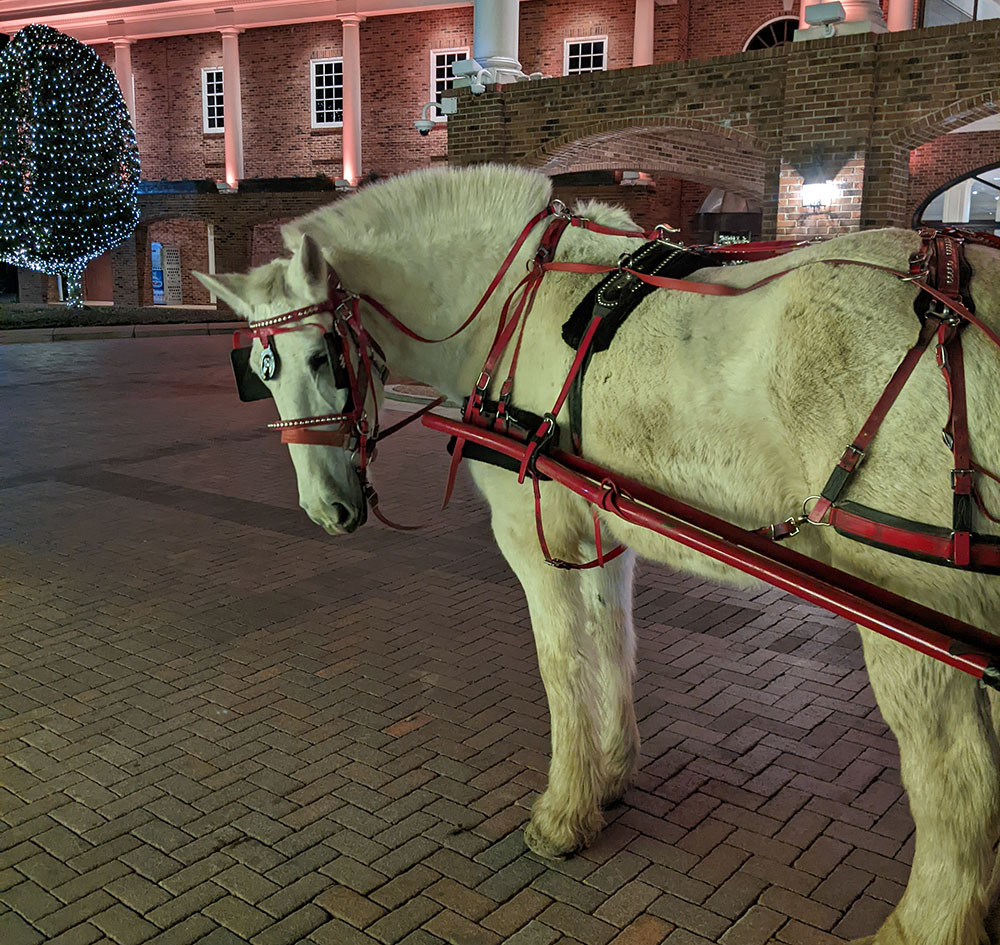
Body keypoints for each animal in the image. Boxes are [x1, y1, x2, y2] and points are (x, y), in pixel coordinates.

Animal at [194, 164, 1000, 945]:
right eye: (258, 375)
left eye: (323, 356)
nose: (327, 509)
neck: (513, 305)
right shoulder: (605, 533)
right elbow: (611, 642)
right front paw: (610, 774)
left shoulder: (532, 535)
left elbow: (561, 664)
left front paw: (562, 812)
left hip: (911, 607)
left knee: (959, 780)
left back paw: (919, 925)